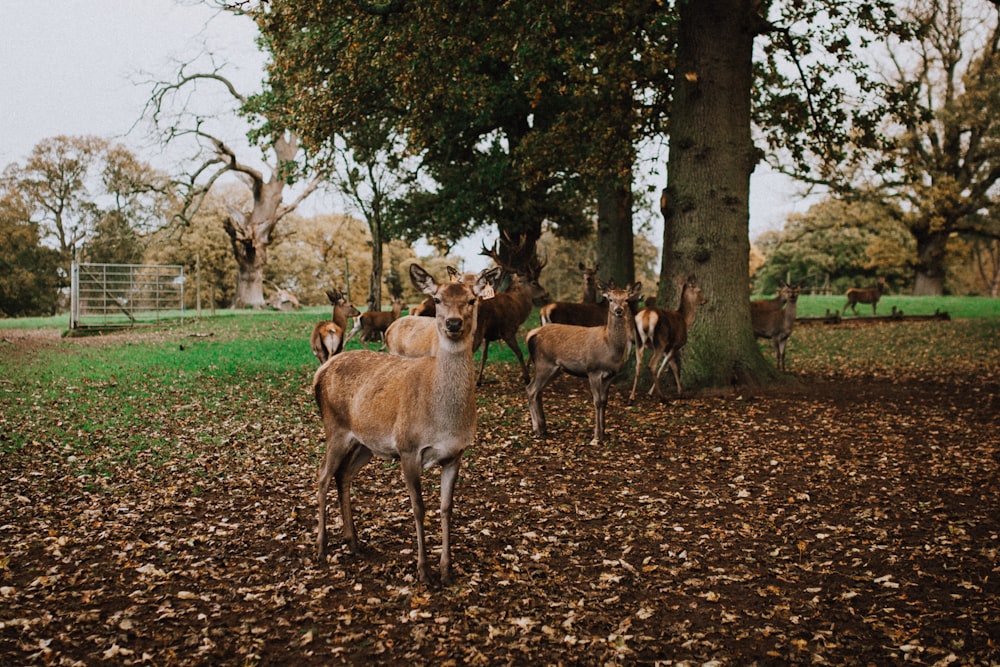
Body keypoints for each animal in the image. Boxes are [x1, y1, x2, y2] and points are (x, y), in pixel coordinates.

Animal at [312, 264, 492, 588]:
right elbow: (418, 508)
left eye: (472, 300)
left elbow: (447, 507)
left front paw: (447, 570)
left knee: (343, 475)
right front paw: (424, 571)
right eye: (437, 299)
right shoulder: (408, 448)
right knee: (322, 475)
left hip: (365, 442)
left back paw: (354, 541)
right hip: (335, 428)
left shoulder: (456, 454)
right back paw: (321, 547)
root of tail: (319, 375)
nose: (454, 323)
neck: (442, 420)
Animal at [474, 241, 552, 386]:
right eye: (534, 282)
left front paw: (479, 380)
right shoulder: (508, 330)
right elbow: (519, 352)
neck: (517, 307)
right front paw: (526, 377)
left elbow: (484, 356)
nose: (546, 293)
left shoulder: (488, 335)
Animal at [524, 282, 640, 444]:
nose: (618, 310)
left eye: (627, 300)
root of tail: (531, 334)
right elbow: (597, 401)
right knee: (531, 389)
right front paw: (596, 437)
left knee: (537, 391)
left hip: (555, 368)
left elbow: (605, 401)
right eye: (610, 299)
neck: (609, 346)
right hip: (544, 363)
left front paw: (604, 433)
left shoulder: (610, 375)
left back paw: (543, 427)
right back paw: (537, 429)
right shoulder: (593, 371)